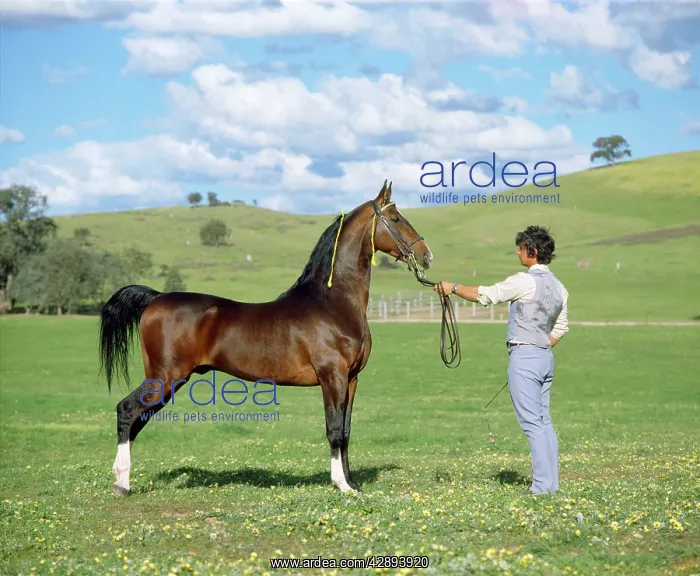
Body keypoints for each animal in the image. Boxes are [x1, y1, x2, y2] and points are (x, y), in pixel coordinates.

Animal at [99, 180, 433, 497]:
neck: (332, 302)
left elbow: (347, 430)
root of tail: (156, 298)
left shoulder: (351, 379)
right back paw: (122, 484)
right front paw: (342, 485)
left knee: (136, 418)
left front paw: (351, 482)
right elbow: (334, 430)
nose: (426, 255)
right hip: (165, 377)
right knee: (127, 411)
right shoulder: (333, 377)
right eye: (396, 218)